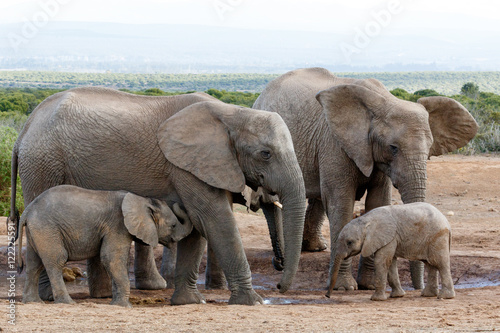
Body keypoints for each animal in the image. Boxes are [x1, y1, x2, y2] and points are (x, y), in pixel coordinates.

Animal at [17, 184, 193, 306]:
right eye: (173, 225)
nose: (179, 203)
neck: (142, 200)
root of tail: (27, 210)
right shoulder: (118, 225)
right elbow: (111, 258)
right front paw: (124, 306)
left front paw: (116, 303)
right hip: (47, 228)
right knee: (56, 261)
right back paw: (67, 303)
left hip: (38, 231)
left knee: (34, 264)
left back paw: (33, 302)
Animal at [252, 68, 478, 290]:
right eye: (393, 148)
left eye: (429, 148)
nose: (418, 288)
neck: (384, 100)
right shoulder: (334, 144)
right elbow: (341, 205)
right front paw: (344, 288)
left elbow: (378, 202)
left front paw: (369, 285)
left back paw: (313, 248)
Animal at [326, 202, 456, 300]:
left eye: (349, 242)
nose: (327, 296)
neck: (365, 220)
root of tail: (447, 222)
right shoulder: (389, 239)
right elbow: (390, 263)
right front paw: (397, 296)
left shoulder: (388, 237)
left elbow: (381, 261)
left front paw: (376, 299)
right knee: (430, 264)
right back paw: (428, 295)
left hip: (438, 236)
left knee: (440, 263)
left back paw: (444, 296)